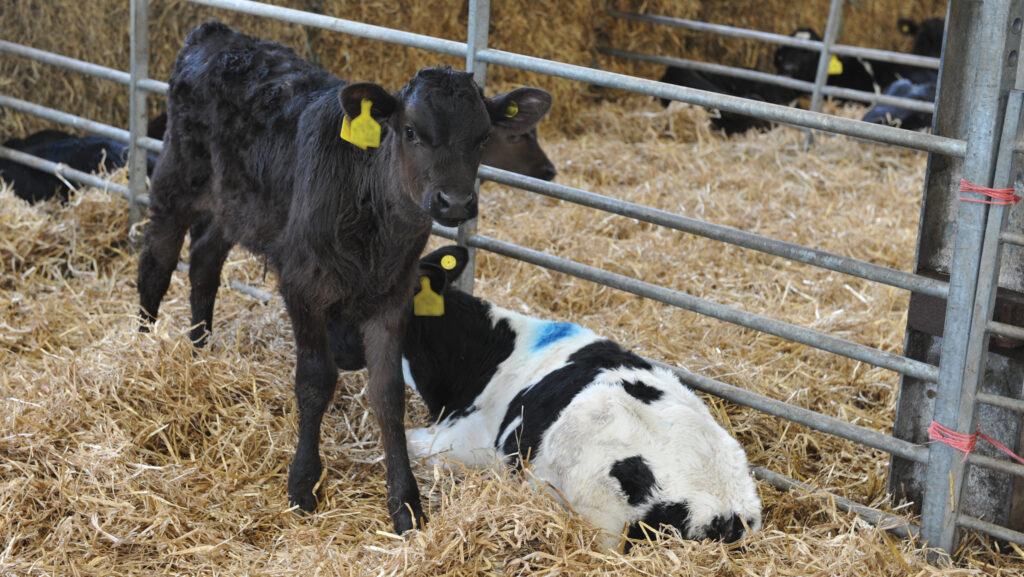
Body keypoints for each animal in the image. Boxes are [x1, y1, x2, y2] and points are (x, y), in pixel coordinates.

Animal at [139, 20, 552, 537]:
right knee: (156, 262)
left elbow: (388, 395)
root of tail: (217, 32)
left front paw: (406, 503)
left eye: (481, 139)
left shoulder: (394, 296)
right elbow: (315, 382)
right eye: (411, 131)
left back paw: (199, 349)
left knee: (203, 261)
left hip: (237, 204)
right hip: (178, 175)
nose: (455, 203)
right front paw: (303, 485)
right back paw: (139, 352)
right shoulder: (303, 284)